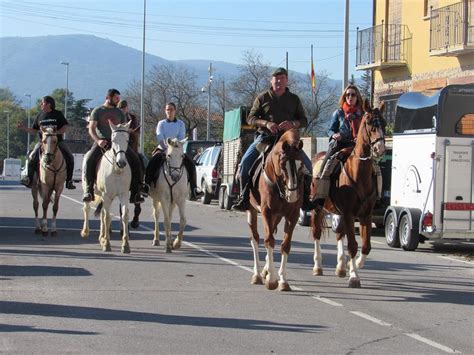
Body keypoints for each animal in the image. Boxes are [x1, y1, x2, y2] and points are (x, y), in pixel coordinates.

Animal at [79, 121, 131, 253]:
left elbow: (124, 216)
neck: (117, 170)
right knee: (87, 208)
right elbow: (107, 217)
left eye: (127, 140)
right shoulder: (107, 195)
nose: (121, 162)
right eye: (113, 140)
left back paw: (101, 237)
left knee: (102, 213)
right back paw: (85, 232)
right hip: (90, 190)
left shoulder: (123, 195)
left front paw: (125, 245)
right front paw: (107, 244)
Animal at [246, 129, 306, 290]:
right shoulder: (267, 211)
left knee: (270, 232)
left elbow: (285, 245)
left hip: (277, 216)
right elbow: (268, 241)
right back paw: (257, 274)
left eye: (300, 165)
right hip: (252, 210)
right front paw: (272, 280)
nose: (293, 195)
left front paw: (283, 280)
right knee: (255, 239)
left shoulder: (292, 215)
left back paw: (265, 271)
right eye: (282, 164)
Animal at [312, 100, 386, 290]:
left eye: (383, 123)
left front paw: (354, 265)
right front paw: (354, 276)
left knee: (339, 233)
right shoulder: (349, 213)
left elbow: (366, 246)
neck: (358, 174)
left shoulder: (365, 214)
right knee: (317, 234)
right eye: (369, 122)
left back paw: (340, 267)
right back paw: (318, 267)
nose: (379, 148)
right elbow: (353, 245)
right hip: (317, 208)